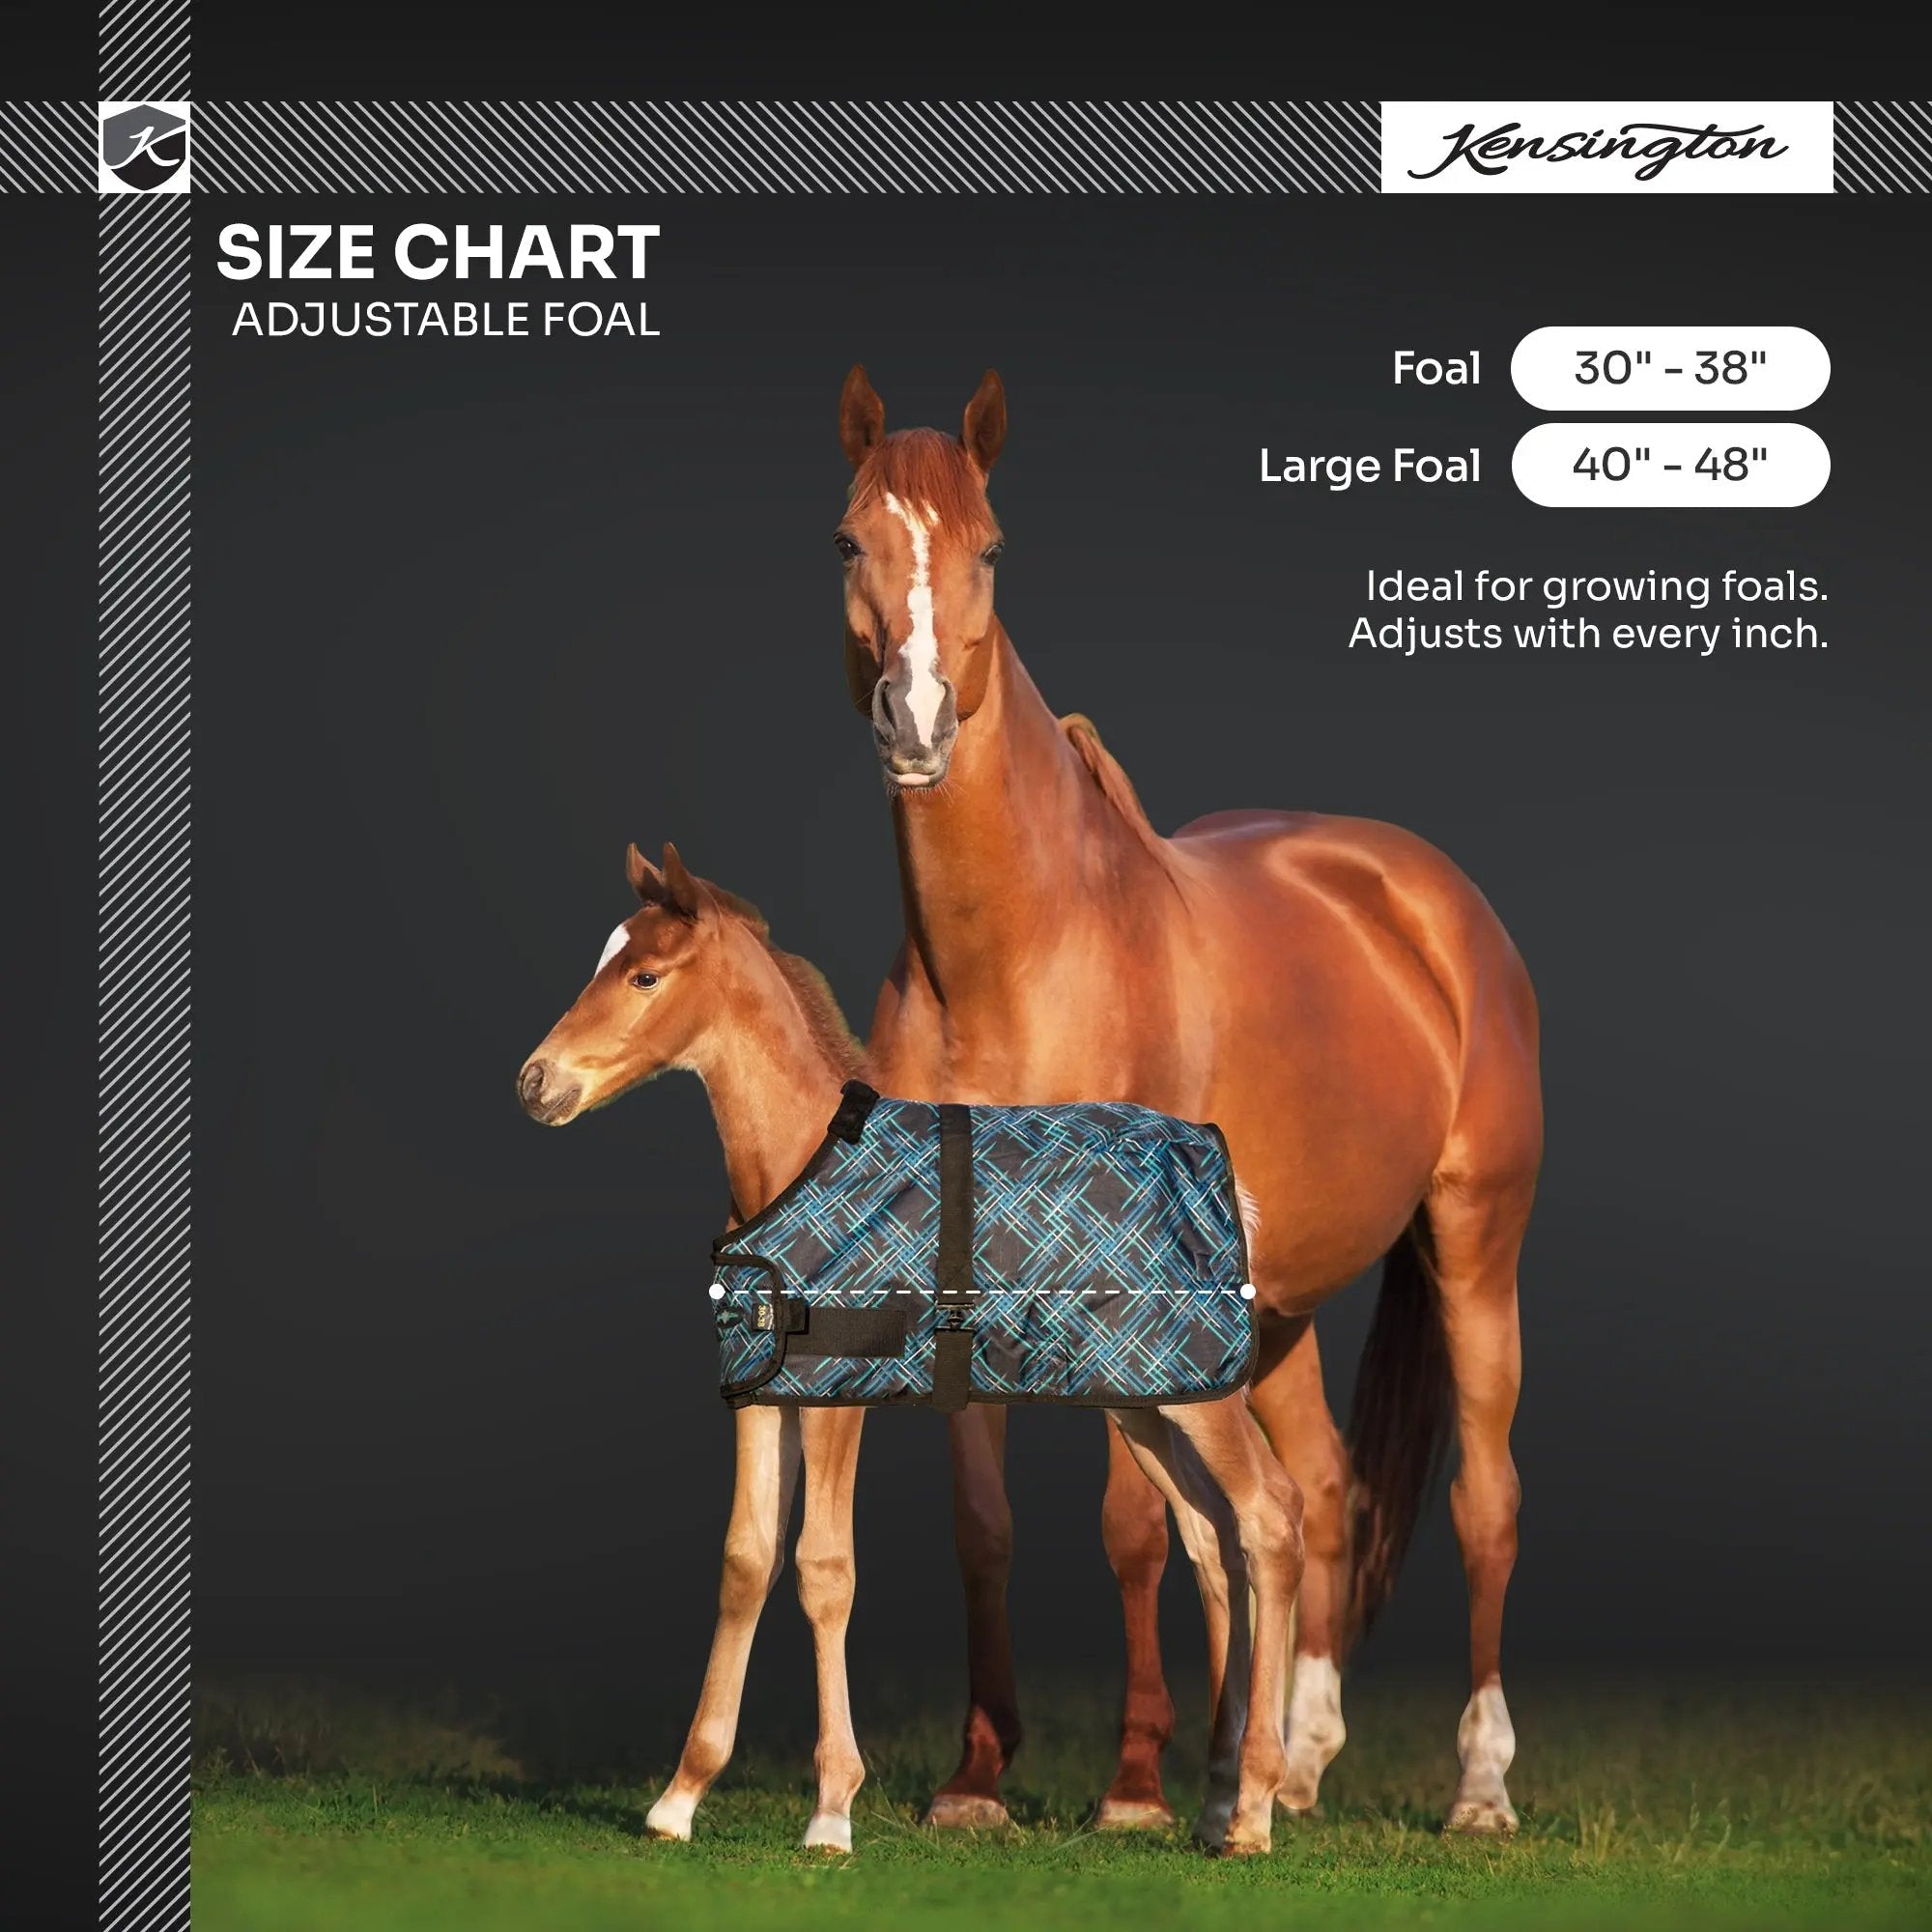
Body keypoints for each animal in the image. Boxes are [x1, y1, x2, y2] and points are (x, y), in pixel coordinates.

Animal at [518, 844, 1305, 1855]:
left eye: (645, 976)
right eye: (604, 959)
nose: (536, 1083)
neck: (798, 1163)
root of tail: (1225, 1181)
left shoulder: (838, 1400)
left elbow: (823, 1571)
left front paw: (831, 1811)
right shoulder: (761, 1398)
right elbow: (745, 1563)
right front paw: (679, 1798)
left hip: (1196, 1397)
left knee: (1271, 1518)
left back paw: (1254, 1810)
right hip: (1145, 1402)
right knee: (1214, 1542)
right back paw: (1212, 1805)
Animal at [833, 366, 1542, 1837]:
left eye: (991, 549)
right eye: (846, 541)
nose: (916, 725)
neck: (1021, 958)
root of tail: (1425, 896)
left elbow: (1133, 1527)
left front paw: (1136, 1785)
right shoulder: (964, 1276)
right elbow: (987, 1527)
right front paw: (978, 1779)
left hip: (1474, 1243)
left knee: (1487, 1502)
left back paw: (1478, 1785)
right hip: (1275, 1308)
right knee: (1320, 1491)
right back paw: (1302, 1758)